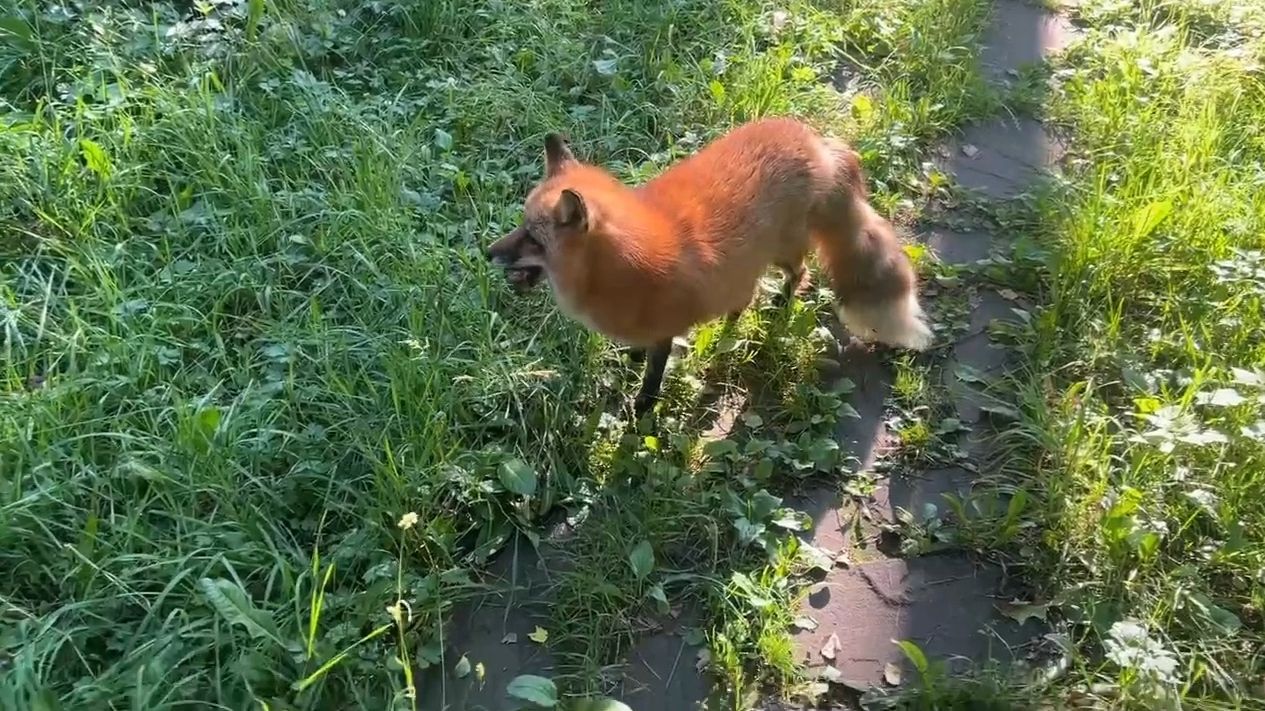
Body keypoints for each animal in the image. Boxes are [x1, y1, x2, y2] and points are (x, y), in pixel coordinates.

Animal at [486, 117, 933, 416]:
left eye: (533, 238)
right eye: (520, 225)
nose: (488, 252)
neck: (616, 269)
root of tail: (814, 139)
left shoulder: (665, 331)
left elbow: (652, 378)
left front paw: (641, 411)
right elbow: (637, 352)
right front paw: (631, 359)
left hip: (781, 252)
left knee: (799, 275)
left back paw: (779, 306)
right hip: (744, 267)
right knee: (744, 299)